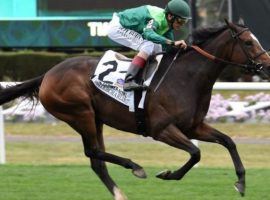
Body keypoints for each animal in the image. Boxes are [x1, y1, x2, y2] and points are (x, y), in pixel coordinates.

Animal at [0, 20, 270, 198]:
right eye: (248, 42)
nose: (267, 64)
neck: (187, 78)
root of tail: (47, 74)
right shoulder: (162, 129)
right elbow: (196, 153)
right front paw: (168, 174)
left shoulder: (193, 126)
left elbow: (228, 141)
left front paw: (241, 182)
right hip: (80, 114)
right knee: (93, 152)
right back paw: (135, 167)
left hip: (96, 118)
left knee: (96, 160)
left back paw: (120, 192)